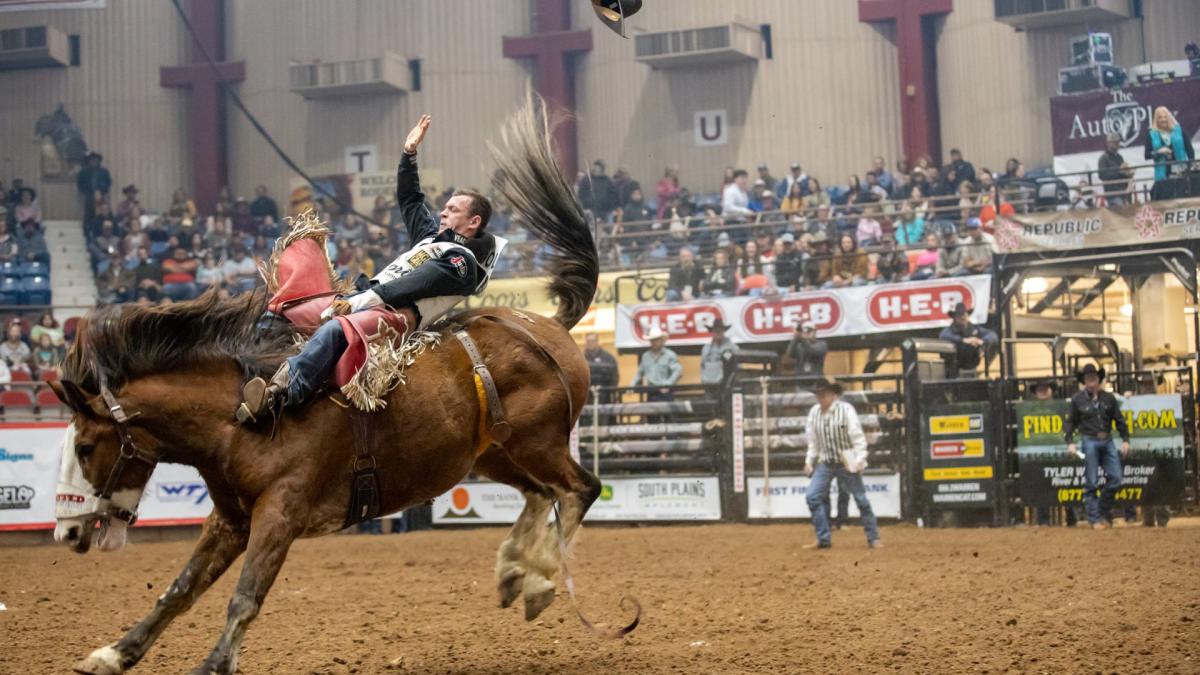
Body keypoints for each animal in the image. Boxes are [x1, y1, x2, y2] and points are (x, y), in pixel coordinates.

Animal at [49, 97, 638, 667]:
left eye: (84, 447)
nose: (66, 532)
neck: (234, 420)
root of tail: (552, 327)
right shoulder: (230, 519)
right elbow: (179, 589)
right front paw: (113, 653)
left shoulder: (279, 513)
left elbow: (245, 596)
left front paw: (212, 664)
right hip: (495, 453)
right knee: (542, 493)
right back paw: (516, 571)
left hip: (539, 442)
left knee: (578, 489)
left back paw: (538, 581)